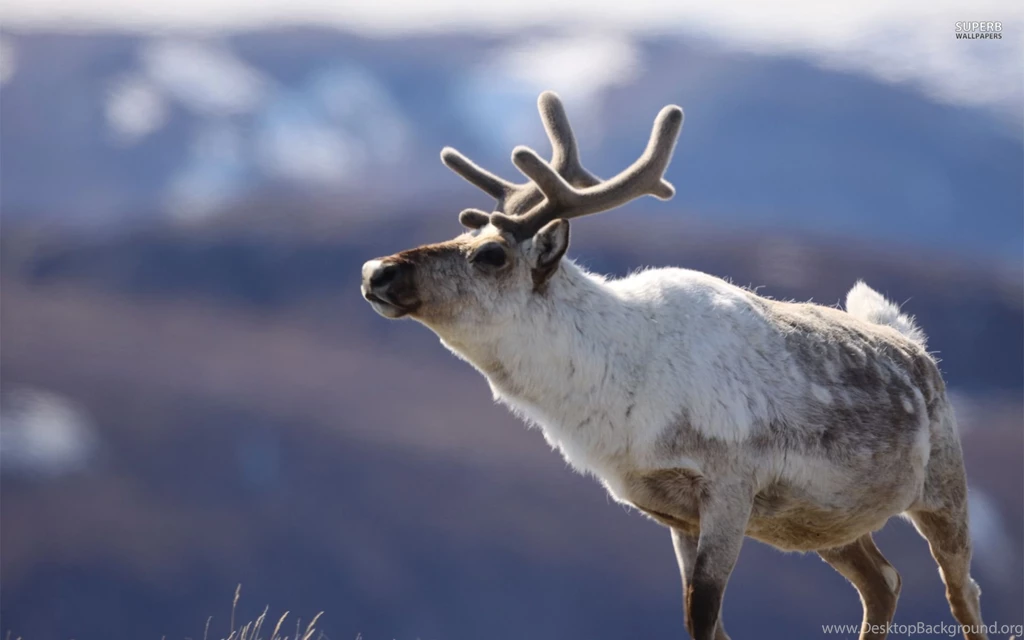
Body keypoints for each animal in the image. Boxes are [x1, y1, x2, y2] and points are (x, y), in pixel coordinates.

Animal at [359, 91, 988, 640]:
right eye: (461, 230)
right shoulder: (675, 513)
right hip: (821, 524)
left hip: (943, 489)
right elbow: (705, 625)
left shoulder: (730, 488)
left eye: (491, 254)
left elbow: (702, 615)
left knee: (962, 593)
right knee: (884, 582)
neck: (614, 396)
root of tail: (915, 345)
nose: (376, 271)